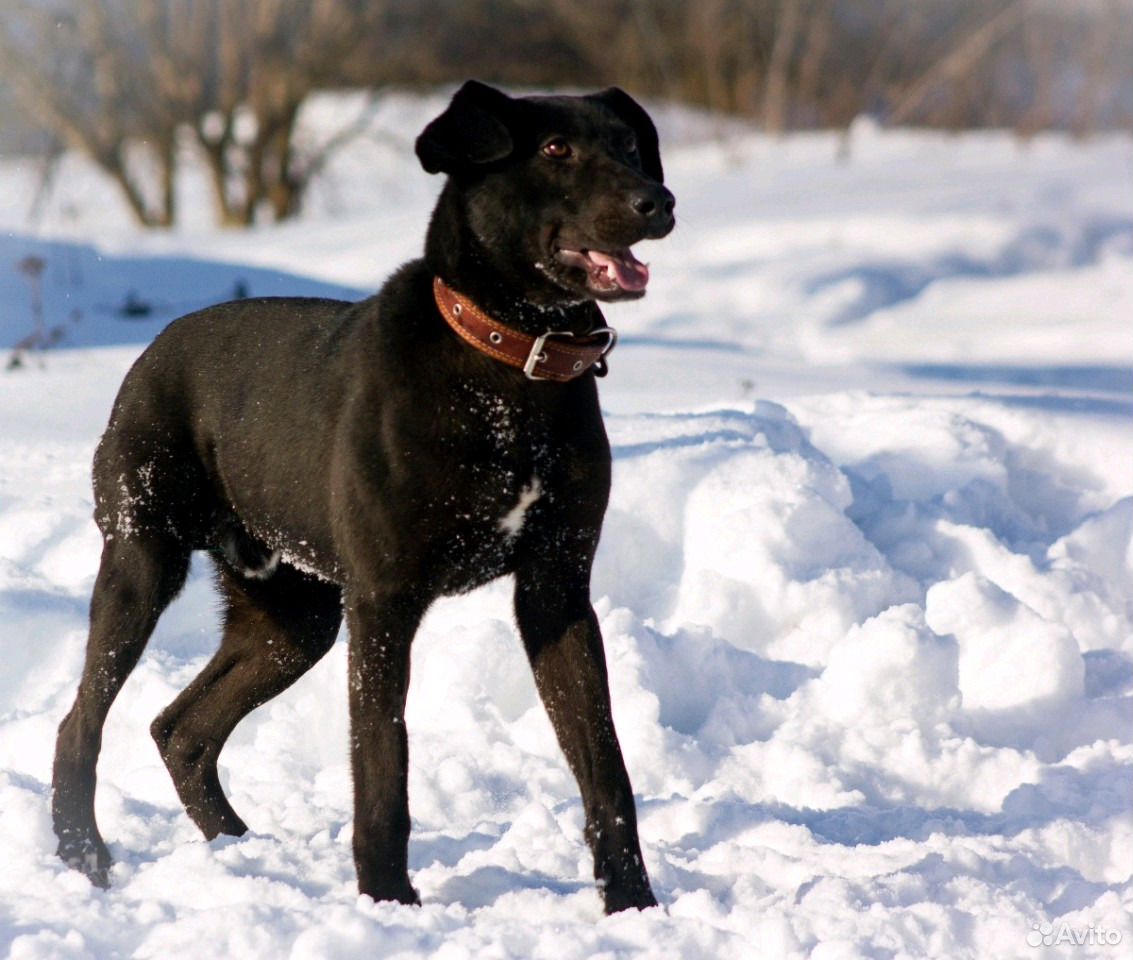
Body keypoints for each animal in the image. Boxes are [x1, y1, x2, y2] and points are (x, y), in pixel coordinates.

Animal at [50, 82, 670, 915]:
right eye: (554, 149)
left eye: (630, 145)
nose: (657, 201)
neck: (509, 367)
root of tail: (153, 349)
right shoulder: (383, 599)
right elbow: (382, 758)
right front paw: (388, 898)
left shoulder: (556, 588)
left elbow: (603, 761)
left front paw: (631, 902)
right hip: (142, 559)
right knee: (82, 721)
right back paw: (84, 854)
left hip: (294, 616)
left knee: (180, 728)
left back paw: (241, 848)